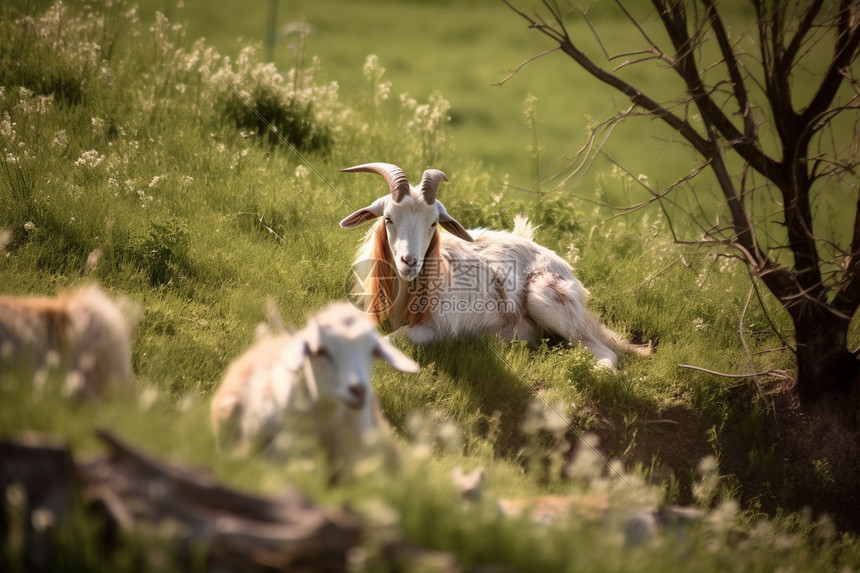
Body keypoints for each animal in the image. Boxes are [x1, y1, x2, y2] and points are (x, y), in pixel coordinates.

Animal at [340, 162, 648, 366]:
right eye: (389, 218)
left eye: (433, 223)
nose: (409, 261)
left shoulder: (436, 328)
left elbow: (390, 340)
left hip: (547, 298)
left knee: (603, 350)